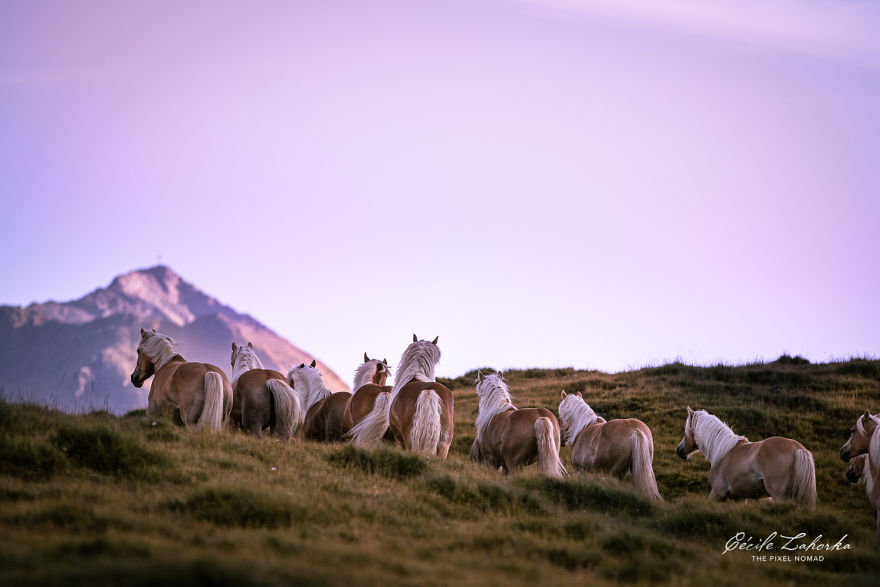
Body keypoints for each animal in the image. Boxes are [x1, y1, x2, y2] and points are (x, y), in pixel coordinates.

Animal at [677, 406, 816, 507]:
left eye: (686, 431)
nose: (679, 450)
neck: (722, 452)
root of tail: (798, 449)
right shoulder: (740, 498)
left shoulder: (717, 492)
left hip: (779, 496)